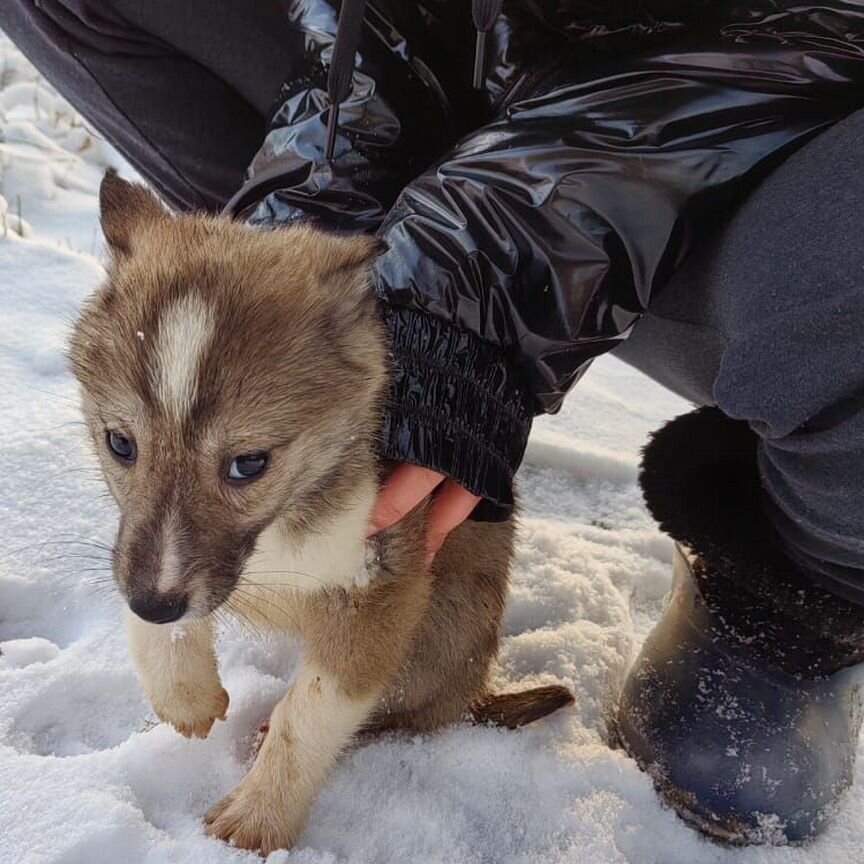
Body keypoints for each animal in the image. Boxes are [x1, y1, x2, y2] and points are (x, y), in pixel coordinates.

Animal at [69, 172, 572, 852]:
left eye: (249, 463)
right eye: (120, 444)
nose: (155, 604)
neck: (284, 523)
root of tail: (476, 691)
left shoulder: (382, 588)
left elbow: (309, 713)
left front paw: (258, 819)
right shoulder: (145, 553)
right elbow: (145, 586)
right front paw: (184, 694)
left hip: (441, 628)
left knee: (407, 716)